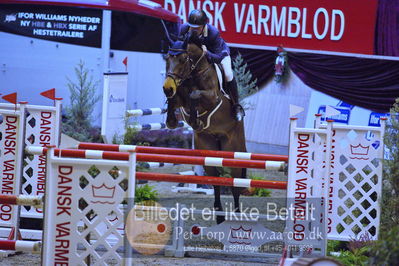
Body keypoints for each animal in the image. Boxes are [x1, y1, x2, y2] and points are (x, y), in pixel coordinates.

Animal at [162, 34, 247, 223]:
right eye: (167, 58)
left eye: (183, 59)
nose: (167, 87)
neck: (193, 74)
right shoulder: (179, 95)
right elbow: (175, 98)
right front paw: (171, 121)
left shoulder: (212, 98)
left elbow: (195, 95)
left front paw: (196, 121)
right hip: (209, 150)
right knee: (216, 181)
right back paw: (219, 214)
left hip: (233, 151)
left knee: (235, 185)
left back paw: (237, 214)